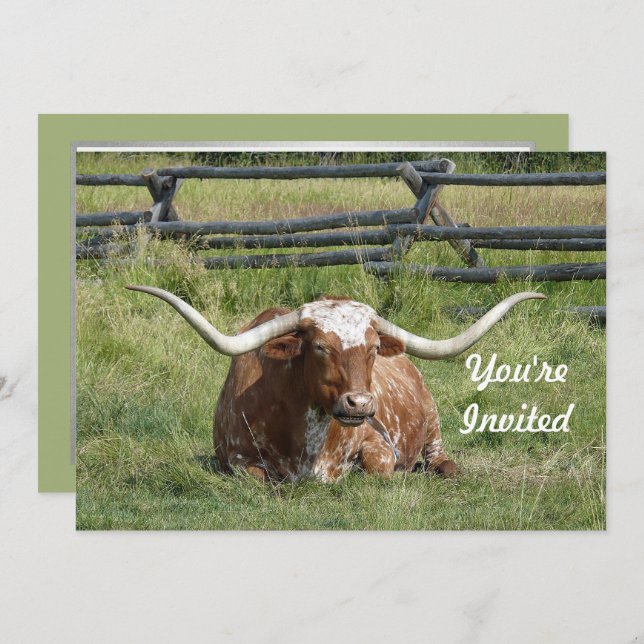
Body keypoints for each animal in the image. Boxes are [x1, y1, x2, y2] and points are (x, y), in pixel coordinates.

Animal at [127, 286, 544, 482]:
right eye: (321, 347)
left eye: (373, 347)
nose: (360, 404)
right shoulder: (233, 458)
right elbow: (257, 477)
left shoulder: (379, 443)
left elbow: (377, 467)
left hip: (433, 422)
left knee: (441, 458)